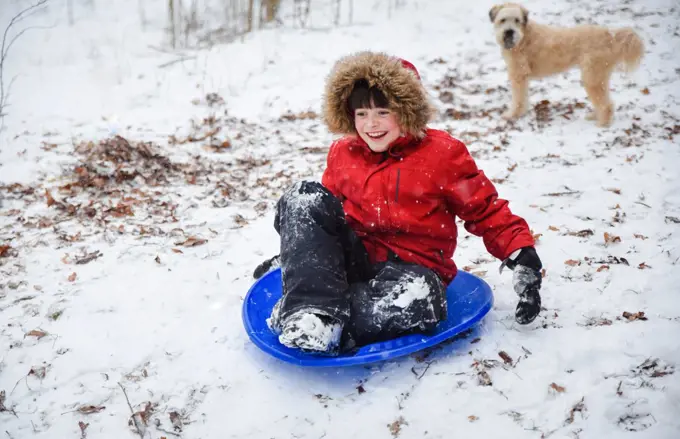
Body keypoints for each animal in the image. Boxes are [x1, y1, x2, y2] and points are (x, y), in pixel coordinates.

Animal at [488, 3, 644, 127]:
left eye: (517, 20)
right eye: (503, 20)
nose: (509, 32)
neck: (524, 37)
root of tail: (610, 36)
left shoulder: (518, 75)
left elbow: (518, 98)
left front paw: (512, 115)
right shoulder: (522, 77)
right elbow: (523, 97)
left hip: (592, 76)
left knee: (606, 104)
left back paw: (602, 123)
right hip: (598, 77)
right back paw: (595, 116)